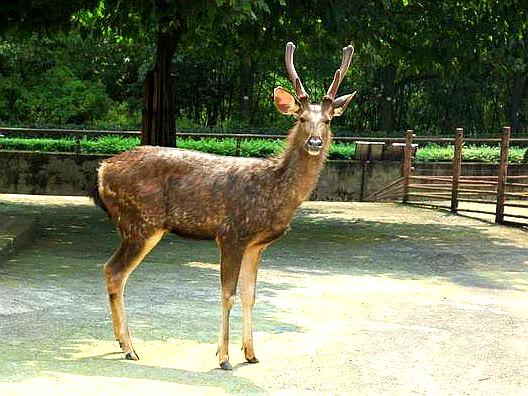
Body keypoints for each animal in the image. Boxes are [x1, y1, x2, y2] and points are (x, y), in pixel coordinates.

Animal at [93, 41, 356, 370]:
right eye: (301, 118)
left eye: (328, 120)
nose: (315, 142)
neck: (273, 191)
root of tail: (102, 170)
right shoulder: (232, 234)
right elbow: (227, 294)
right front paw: (224, 357)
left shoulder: (257, 245)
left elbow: (250, 295)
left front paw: (251, 353)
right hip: (141, 223)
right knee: (114, 271)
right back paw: (130, 347)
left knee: (112, 271)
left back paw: (121, 342)